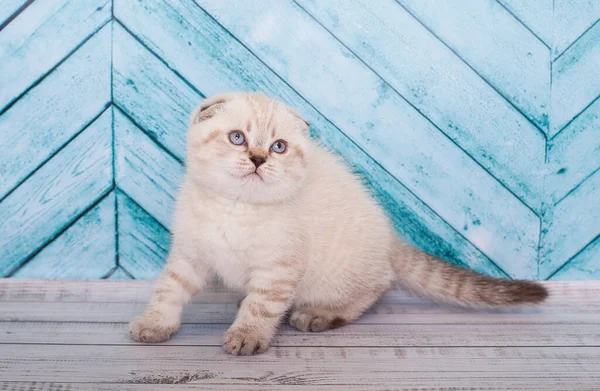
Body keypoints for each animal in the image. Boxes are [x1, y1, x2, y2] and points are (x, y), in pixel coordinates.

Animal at [130, 92, 548, 356]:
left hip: (339, 276)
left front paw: (247, 336)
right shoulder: (189, 254)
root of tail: (390, 239)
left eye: (278, 147)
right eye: (237, 138)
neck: (236, 206)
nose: (259, 159)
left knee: (371, 292)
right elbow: (168, 291)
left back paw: (317, 315)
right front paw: (153, 325)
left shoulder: (279, 269)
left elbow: (262, 307)